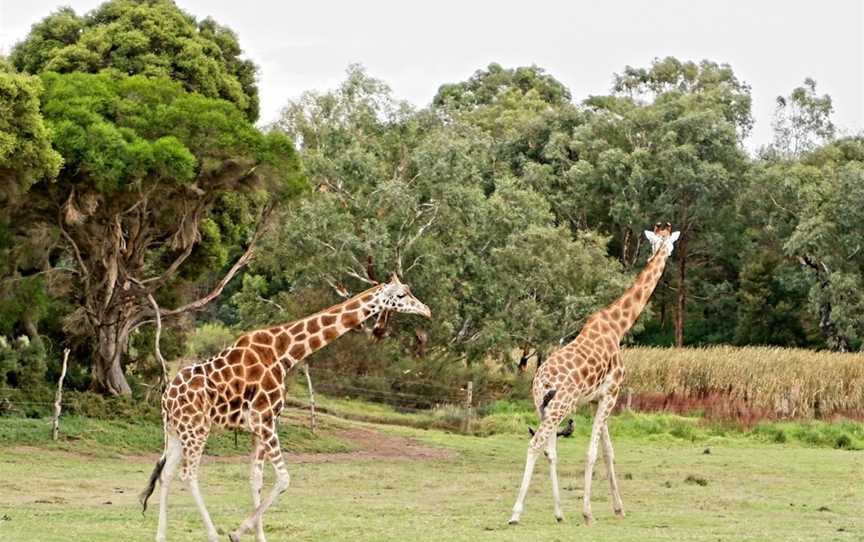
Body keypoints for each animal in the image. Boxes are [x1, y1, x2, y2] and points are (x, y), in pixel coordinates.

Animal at [139, 276, 432, 542]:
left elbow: (256, 479)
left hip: (176, 432)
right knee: (188, 474)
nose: (427, 310)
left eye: (409, 291)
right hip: (196, 429)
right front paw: (236, 532)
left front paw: (258, 537)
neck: (285, 352)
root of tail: (166, 399)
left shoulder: (259, 425)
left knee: (166, 475)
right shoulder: (264, 420)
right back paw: (212, 535)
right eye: (401, 295)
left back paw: (160, 536)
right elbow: (284, 479)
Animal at [506, 221, 680, 528]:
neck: (617, 326)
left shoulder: (597, 398)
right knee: (536, 444)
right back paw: (515, 514)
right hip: (560, 406)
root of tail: (542, 381)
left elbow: (608, 452)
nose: (665, 255)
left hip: (543, 406)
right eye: (669, 244)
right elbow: (593, 452)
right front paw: (588, 513)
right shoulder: (612, 393)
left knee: (550, 449)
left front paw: (618, 509)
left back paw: (559, 512)